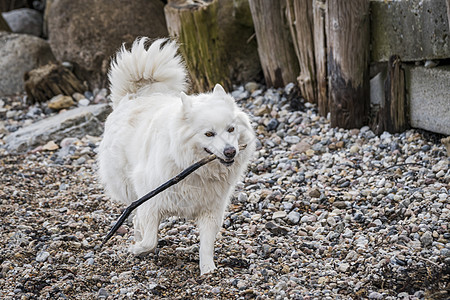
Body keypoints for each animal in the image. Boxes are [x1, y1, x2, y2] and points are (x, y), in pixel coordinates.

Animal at [98, 37, 255, 274]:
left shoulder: (211, 210)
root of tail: (133, 97)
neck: (195, 171)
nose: (231, 151)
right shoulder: (151, 202)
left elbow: (206, 244)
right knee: (135, 216)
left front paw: (208, 270)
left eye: (231, 129)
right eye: (209, 134)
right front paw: (137, 249)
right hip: (130, 188)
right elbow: (149, 239)